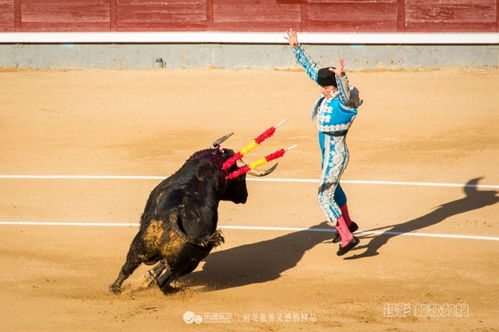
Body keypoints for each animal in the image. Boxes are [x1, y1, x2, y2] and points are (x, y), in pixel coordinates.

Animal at [109, 141, 278, 294]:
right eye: (242, 176)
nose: (245, 196)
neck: (206, 170)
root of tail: (174, 216)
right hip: (190, 261)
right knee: (164, 281)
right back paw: (174, 290)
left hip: (140, 245)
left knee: (127, 267)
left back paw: (115, 288)